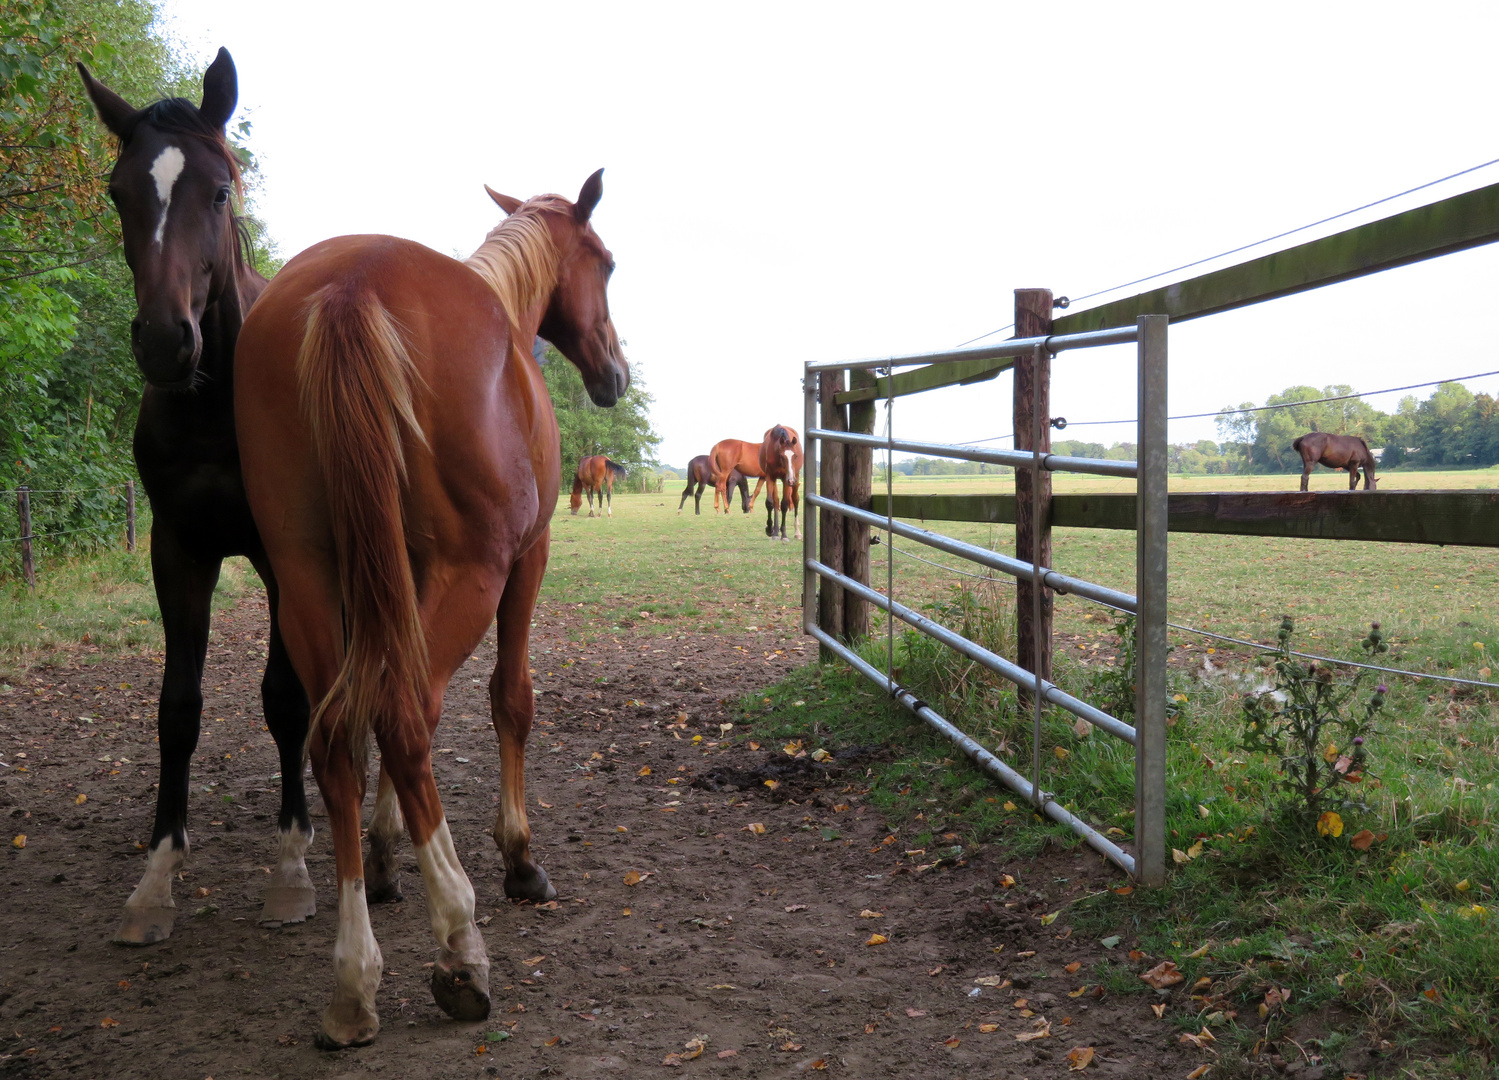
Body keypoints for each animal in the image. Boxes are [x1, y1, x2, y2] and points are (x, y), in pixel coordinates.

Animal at [76, 52, 319, 948]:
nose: (163, 340)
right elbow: (177, 709)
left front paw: (289, 867)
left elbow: (284, 698)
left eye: (218, 193)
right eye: (120, 192)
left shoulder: (284, 553)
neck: (219, 404)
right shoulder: (177, 550)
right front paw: (155, 881)